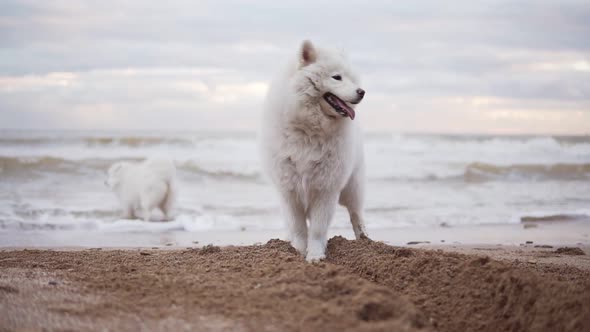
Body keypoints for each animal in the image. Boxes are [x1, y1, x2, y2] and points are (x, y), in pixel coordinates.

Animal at [262, 39, 370, 262]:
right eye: (337, 77)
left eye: (352, 78)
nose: (362, 91)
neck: (309, 128)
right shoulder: (289, 189)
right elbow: (298, 227)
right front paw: (298, 250)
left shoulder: (325, 188)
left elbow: (318, 229)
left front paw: (315, 255)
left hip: (352, 187)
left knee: (356, 213)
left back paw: (364, 238)